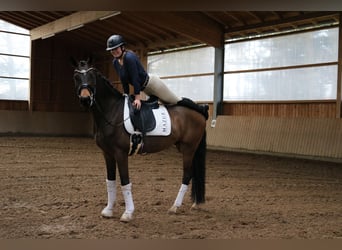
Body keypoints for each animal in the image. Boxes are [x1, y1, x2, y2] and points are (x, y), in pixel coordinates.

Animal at [71, 58, 207, 223]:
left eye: (91, 76)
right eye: (76, 77)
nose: (85, 99)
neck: (112, 112)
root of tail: (200, 114)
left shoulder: (120, 153)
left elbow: (125, 182)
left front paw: (128, 213)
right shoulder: (107, 154)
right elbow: (110, 181)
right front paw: (108, 210)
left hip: (189, 148)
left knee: (187, 175)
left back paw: (175, 207)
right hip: (185, 147)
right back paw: (195, 204)